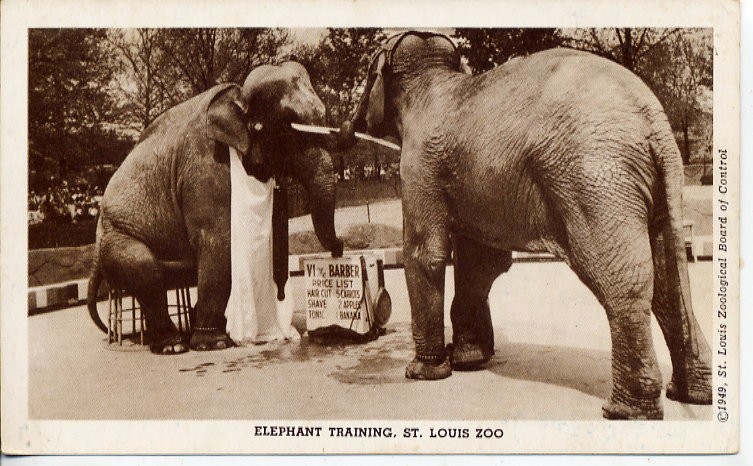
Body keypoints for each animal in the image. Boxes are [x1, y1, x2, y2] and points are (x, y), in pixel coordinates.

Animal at [88, 61, 343, 355]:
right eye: (285, 130)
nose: (339, 250)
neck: (238, 96)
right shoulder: (204, 165)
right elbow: (220, 240)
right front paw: (214, 344)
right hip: (116, 234)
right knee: (144, 269)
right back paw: (173, 345)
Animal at [339, 31, 712, 419]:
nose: (345, 131)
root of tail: (654, 119)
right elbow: (481, 262)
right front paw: (470, 360)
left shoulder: (417, 166)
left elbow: (426, 254)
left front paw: (423, 372)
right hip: (646, 184)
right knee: (668, 277)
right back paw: (691, 394)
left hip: (596, 179)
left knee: (622, 279)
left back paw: (624, 411)